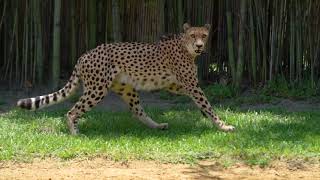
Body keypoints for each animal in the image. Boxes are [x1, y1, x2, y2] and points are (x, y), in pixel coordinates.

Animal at [16, 22, 234, 135]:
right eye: (193, 35)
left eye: (203, 35)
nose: (199, 45)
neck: (185, 48)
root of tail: (84, 54)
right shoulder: (191, 85)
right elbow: (207, 104)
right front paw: (223, 126)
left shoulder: (178, 85)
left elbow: (202, 103)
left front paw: (210, 119)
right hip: (97, 90)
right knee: (72, 111)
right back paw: (76, 133)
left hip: (127, 89)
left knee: (137, 112)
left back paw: (157, 126)